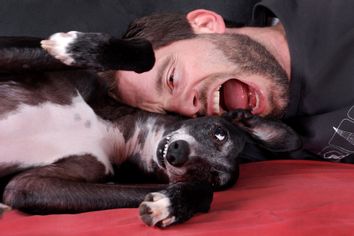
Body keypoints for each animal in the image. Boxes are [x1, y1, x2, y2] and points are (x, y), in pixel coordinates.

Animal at [0, 31, 302, 227]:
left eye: (213, 177)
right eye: (219, 132)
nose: (177, 153)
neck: (117, 132)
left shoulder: (31, 185)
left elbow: (204, 194)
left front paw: (172, 205)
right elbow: (146, 53)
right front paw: (74, 47)